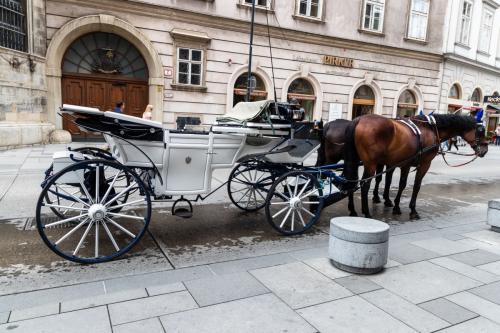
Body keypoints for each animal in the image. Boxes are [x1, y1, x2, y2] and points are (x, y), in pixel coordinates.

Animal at [344, 113, 488, 219]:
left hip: (359, 161)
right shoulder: (423, 164)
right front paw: (412, 209)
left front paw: (394, 205)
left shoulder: (401, 164)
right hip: (371, 164)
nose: (485, 150)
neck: (430, 129)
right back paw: (367, 213)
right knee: (364, 185)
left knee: (351, 181)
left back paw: (353, 210)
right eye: (481, 131)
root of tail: (358, 119)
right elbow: (415, 185)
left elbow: (398, 183)